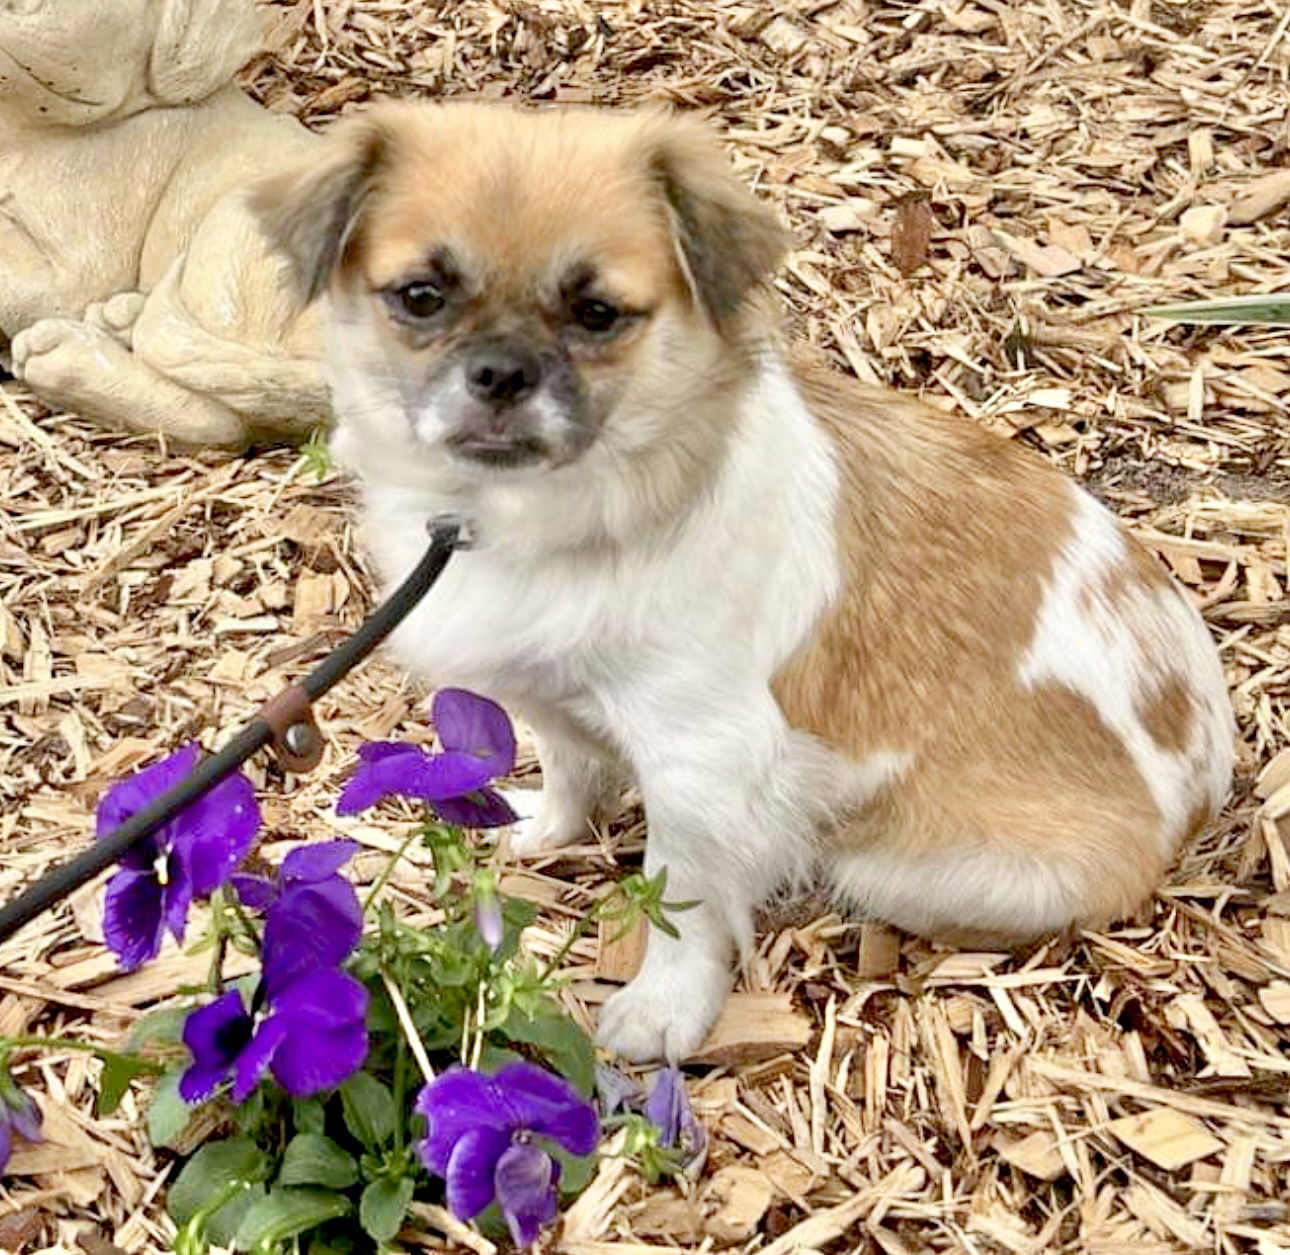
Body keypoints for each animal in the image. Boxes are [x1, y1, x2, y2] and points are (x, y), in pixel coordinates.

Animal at [248, 105, 1228, 1057]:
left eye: (597, 313)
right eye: (422, 297)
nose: (500, 371)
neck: (538, 515)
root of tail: (1204, 773)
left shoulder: (703, 763)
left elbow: (681, 897)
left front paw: (662, 1009)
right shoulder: (552, 696)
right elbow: (569, 766)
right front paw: (544, 830)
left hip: (899, 865)